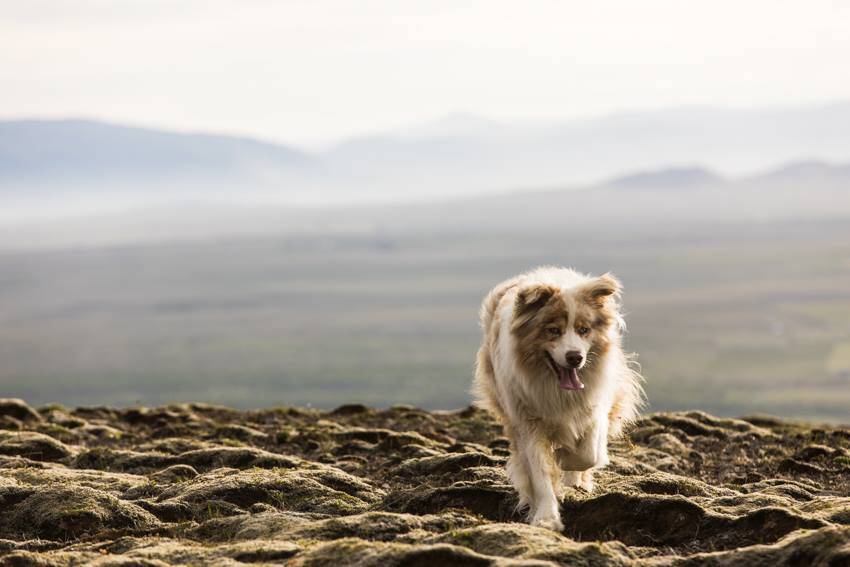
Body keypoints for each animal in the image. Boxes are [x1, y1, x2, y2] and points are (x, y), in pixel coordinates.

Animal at [470, 266, 644, 532]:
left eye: (584, 330)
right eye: (553, 330)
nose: (575, 358)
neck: (556, 387)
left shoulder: (594, 407)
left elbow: (588, 454)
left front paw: (564, 458)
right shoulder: (527, 420)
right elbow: (540, 472)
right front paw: (546, 518)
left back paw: (576, 480)